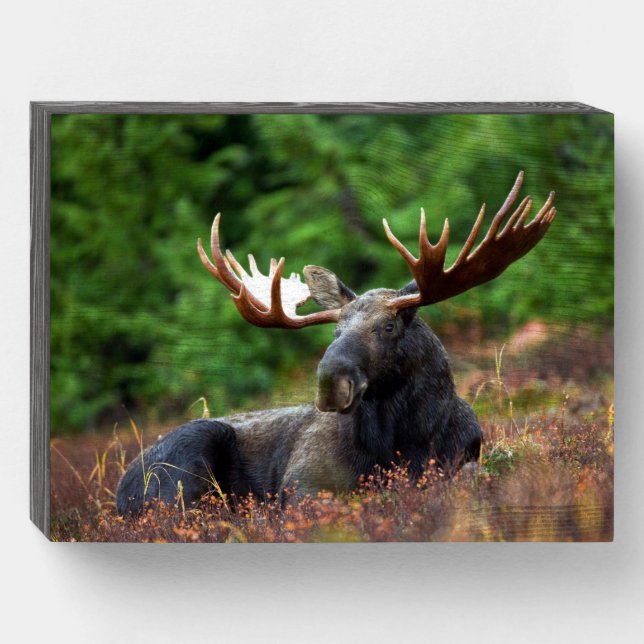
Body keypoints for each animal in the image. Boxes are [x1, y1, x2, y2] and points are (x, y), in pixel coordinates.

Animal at [116, 171, 555, 514]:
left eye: (388, 326)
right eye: (335, 331)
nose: (330, 383)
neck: (405, 440)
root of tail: (120, 491)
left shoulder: (464, 456)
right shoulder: (302, 482)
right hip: (187, 457)